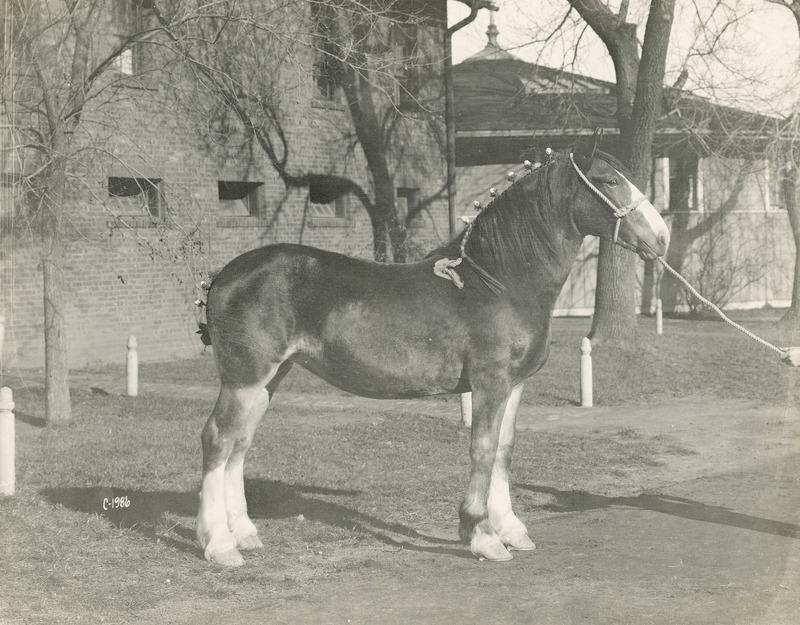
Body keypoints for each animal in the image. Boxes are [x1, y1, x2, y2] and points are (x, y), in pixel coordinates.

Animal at [194, 140, 668, 564]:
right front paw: (481, 535)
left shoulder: (514, 385)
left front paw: (511, 529)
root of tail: (223, 276)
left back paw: (246, 534)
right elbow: (482, 448)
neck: (499, 280)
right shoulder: (490, 383)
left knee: (239, 444)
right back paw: (219, 545)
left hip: (269, 379)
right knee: (217, 440)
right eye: (610, 180)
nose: (662, 238)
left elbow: (504, 449)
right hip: (245, 379)